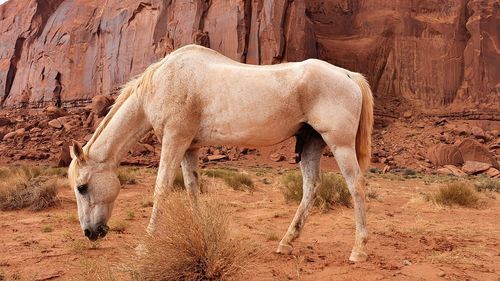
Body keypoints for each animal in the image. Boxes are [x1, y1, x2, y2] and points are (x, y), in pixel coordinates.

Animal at [66, 43, 374, 260]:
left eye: (82, 187)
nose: (89, 232)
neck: (163, 81)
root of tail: (348, 74)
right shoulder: (189, 148)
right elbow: (192, 189)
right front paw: (202, 232)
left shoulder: (174, 140)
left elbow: (161, 188)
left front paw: (145, 245)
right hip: (311, 143)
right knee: (311, 186)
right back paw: (286, 243)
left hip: (340, 145)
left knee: (356, 185)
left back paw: (358, 249)